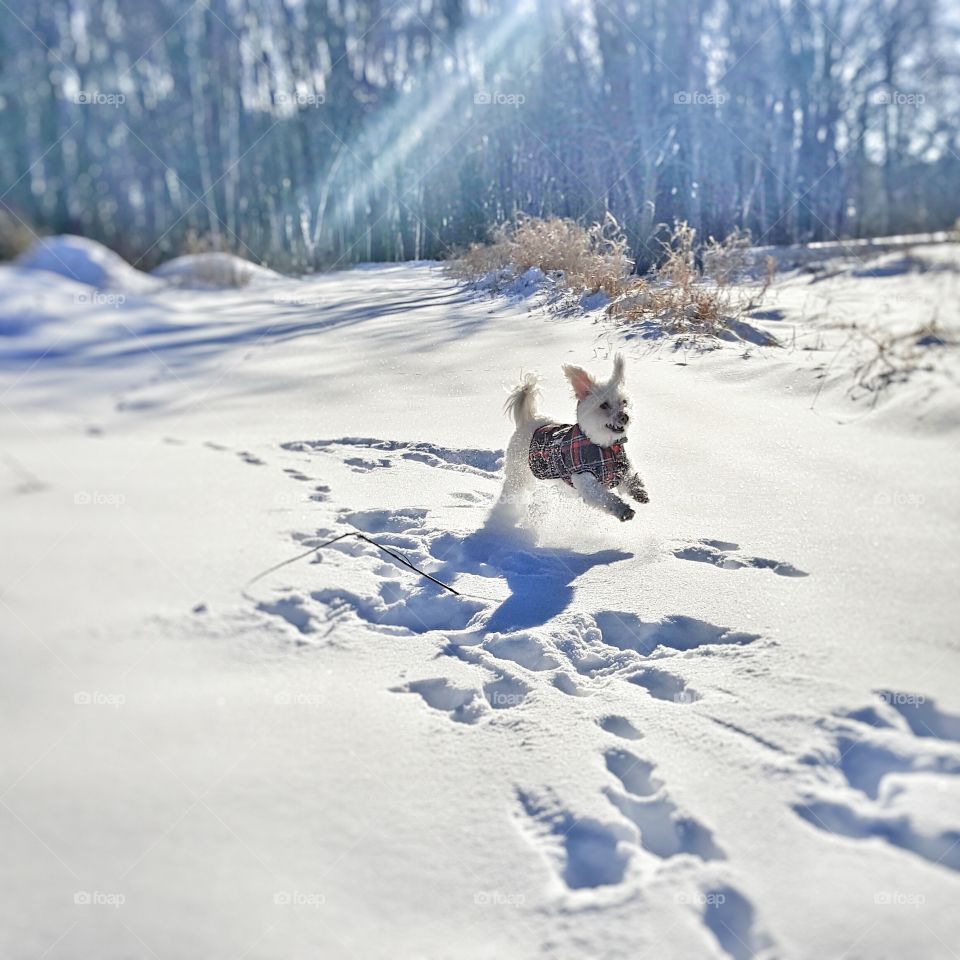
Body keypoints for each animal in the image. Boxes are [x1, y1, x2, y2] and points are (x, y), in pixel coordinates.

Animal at [496, 356, 644, 524]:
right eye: (604, 405)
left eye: (624, 402)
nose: (624, 416)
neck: (603, 446)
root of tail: (529, 419)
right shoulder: (585, 480)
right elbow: (604, 497)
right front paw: (623, 509)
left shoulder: (622, 464)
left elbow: (630, 475)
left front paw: (638, 489)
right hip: (518, 472)